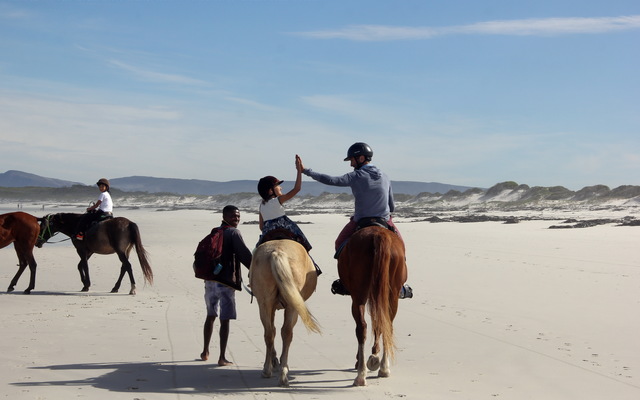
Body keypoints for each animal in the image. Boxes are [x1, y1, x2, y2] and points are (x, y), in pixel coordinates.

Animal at [250, 239, 321, 387]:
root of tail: (277, 251)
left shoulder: (270, 306)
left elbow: (272, 330)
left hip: (265, 302)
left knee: (271, 333)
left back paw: (270, 370)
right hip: (291, 306)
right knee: (286, 332)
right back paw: (281, 371)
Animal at [337, 226, 407, 386]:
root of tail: (378, 234)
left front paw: (371, 357)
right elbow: (378, 324)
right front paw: (374, 355)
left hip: (359, 295)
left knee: (361, 327)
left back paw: (361, 373)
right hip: (391, 294)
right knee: (387, 324)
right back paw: (383, 368)